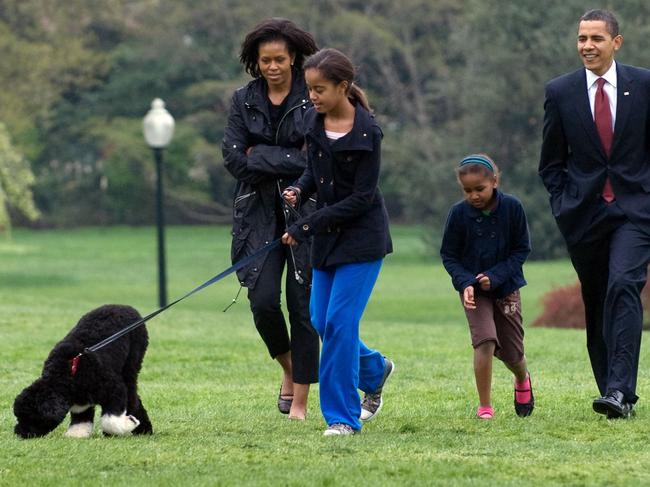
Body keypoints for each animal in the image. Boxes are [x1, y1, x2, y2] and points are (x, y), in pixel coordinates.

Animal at [14, 304, 152, 438]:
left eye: (32, 419)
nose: (19, 433)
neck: (67, 374)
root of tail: (127, 307)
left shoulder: (114, 389)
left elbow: (110, 421)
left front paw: (129, 423)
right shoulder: (79, 399)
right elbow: (81, 418)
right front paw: (77, 433)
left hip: (131, 364)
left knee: (132, 396)